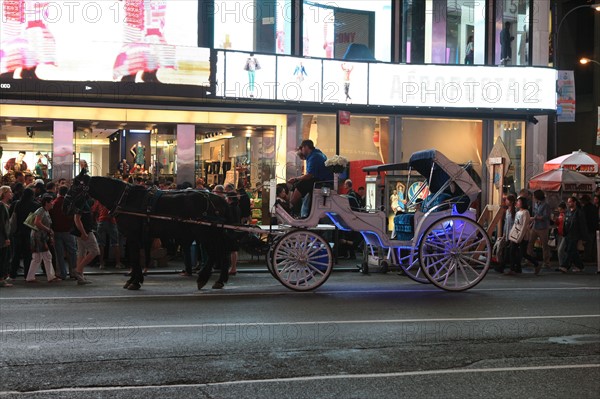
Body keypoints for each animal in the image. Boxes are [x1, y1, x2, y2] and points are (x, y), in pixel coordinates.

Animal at [63, 172, 232, 290]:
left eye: (76, 186)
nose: (65, 203)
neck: (126, 199)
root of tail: (219, 199)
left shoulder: (132, 236)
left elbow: (135, 258)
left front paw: (134, 282)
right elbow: (135, 257)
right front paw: (133, 279)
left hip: (204, 234)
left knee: (214, 254)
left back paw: (203, 278)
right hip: (214, 234)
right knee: (223, 253)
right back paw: (220, 280)